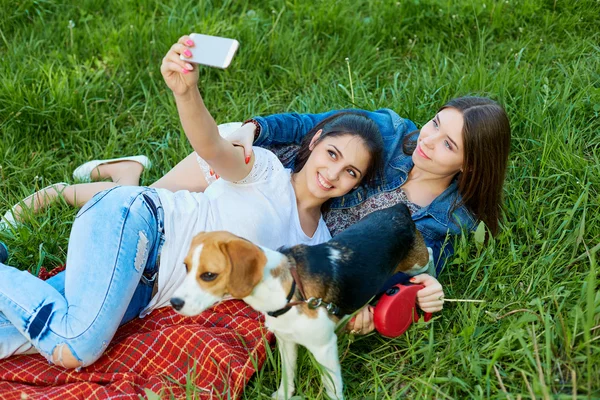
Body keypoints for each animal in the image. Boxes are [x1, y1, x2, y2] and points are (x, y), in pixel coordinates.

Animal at [170, 205, 432, 398]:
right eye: (186, 267)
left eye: (209, 275)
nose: (174, 302)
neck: (289, 290)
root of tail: (399, 210)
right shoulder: (286, 342)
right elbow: (288, 375)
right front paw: (284, 394)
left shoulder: (324, 348)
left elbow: (332, 389)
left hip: (416, 262)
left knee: (429, 254)